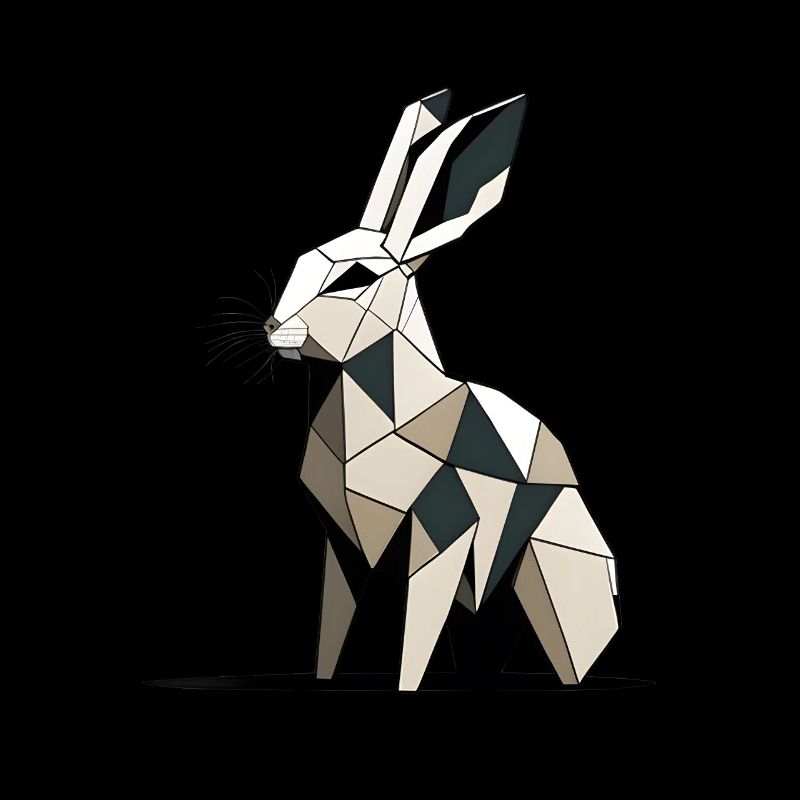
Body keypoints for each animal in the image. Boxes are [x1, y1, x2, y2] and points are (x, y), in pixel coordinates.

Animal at [263, 90, 618, 691]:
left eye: (355, 278)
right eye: (300, 262)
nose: (272, 327)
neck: (396, 413)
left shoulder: (443, 536)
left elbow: (416, 635)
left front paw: (406, 689)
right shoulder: (342, 544)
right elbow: (334, 628)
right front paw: (322, 683)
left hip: (552, 566)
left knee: (574, 647)